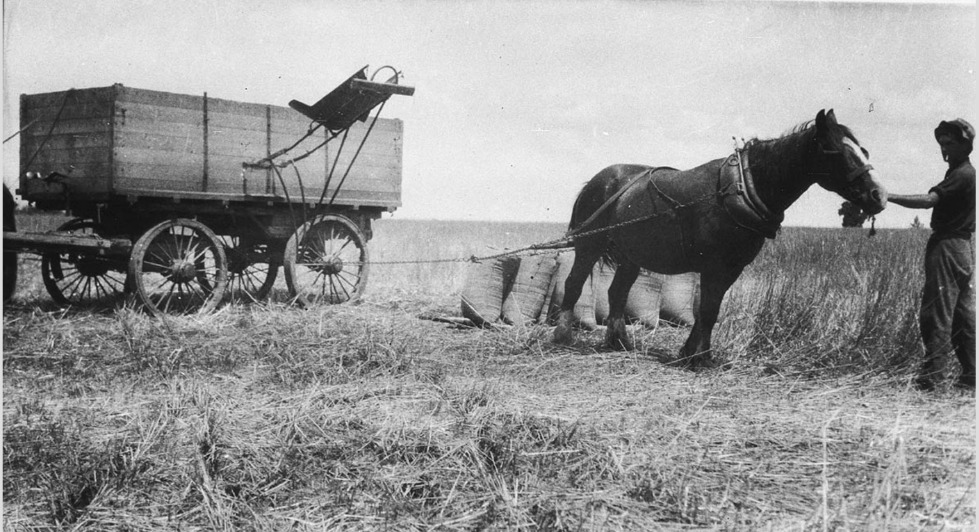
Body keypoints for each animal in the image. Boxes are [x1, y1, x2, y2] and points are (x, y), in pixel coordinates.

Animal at [552, 109, 888, 370]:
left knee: (617, 293)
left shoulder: (731, 268)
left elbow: (709, 311)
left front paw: (694, 353)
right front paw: (699, 357)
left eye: (864, 151)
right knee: (574, 284)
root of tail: (597, 181)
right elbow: (708, 309)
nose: (879, 195)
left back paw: (619, 341)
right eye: (838, 152)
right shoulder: (714, 266)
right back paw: (562, 335)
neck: (742, 188)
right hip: (589, 246)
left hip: (632, 256)